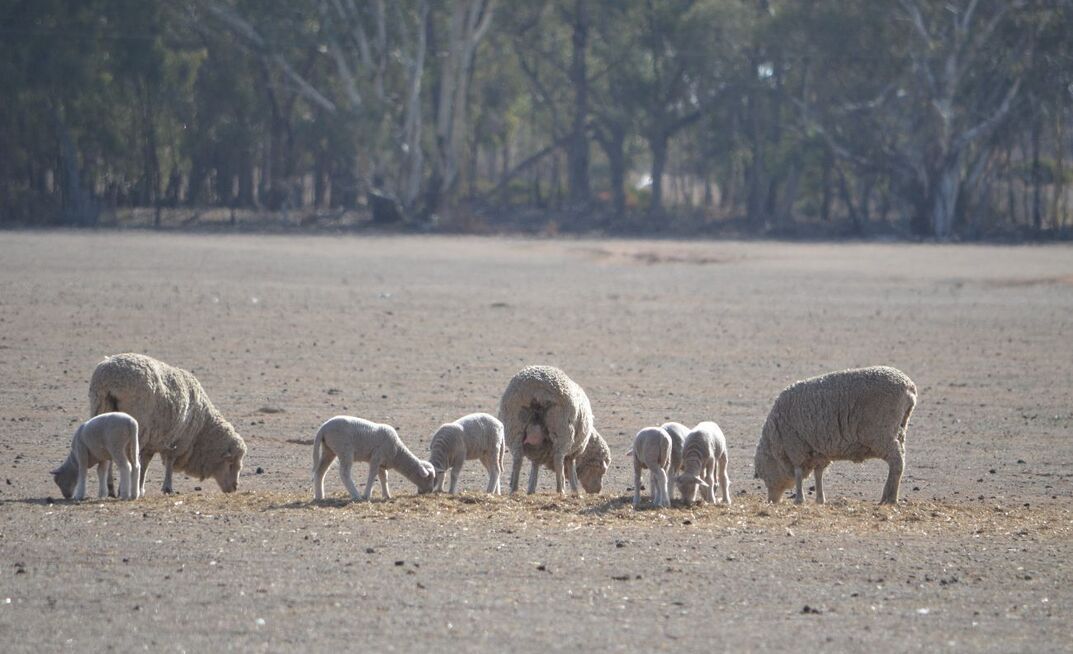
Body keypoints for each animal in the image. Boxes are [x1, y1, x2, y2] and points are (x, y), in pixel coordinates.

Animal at [89, 353, 246, 496]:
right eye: (231, 463)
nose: (234, 488)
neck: (201, 430)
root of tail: (111, 379)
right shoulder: (177, 439)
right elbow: (168, 462)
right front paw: (166, 487)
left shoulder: (153, 440)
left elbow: (145, 463)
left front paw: (141, 487)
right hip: (136, 426)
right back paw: (122, 489)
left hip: (101, 410)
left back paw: (110, 488)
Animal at [498, 365, 608, 495]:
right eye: (601, 470)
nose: (597, 490)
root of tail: (537, 388)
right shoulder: (574, 451)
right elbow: (571, 468)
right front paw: (575, 491)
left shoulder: (538, 450)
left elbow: (534, 467)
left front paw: (531, 489)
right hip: (562, 429)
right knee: (558, 459)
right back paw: (561, 490)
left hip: (514, 426)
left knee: (517, 458)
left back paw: (514, 489)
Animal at [753, 366, 917, 505]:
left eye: (764, 475)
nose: (771, 501)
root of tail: (909, 386)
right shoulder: (819, 451)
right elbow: (818, 474)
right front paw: (820, 499)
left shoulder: (796, 447)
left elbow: (798, 473)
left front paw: (799, 499)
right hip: (899, 430)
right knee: (899, 460)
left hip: (882, 433)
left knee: (896, 462)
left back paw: (890, 498)